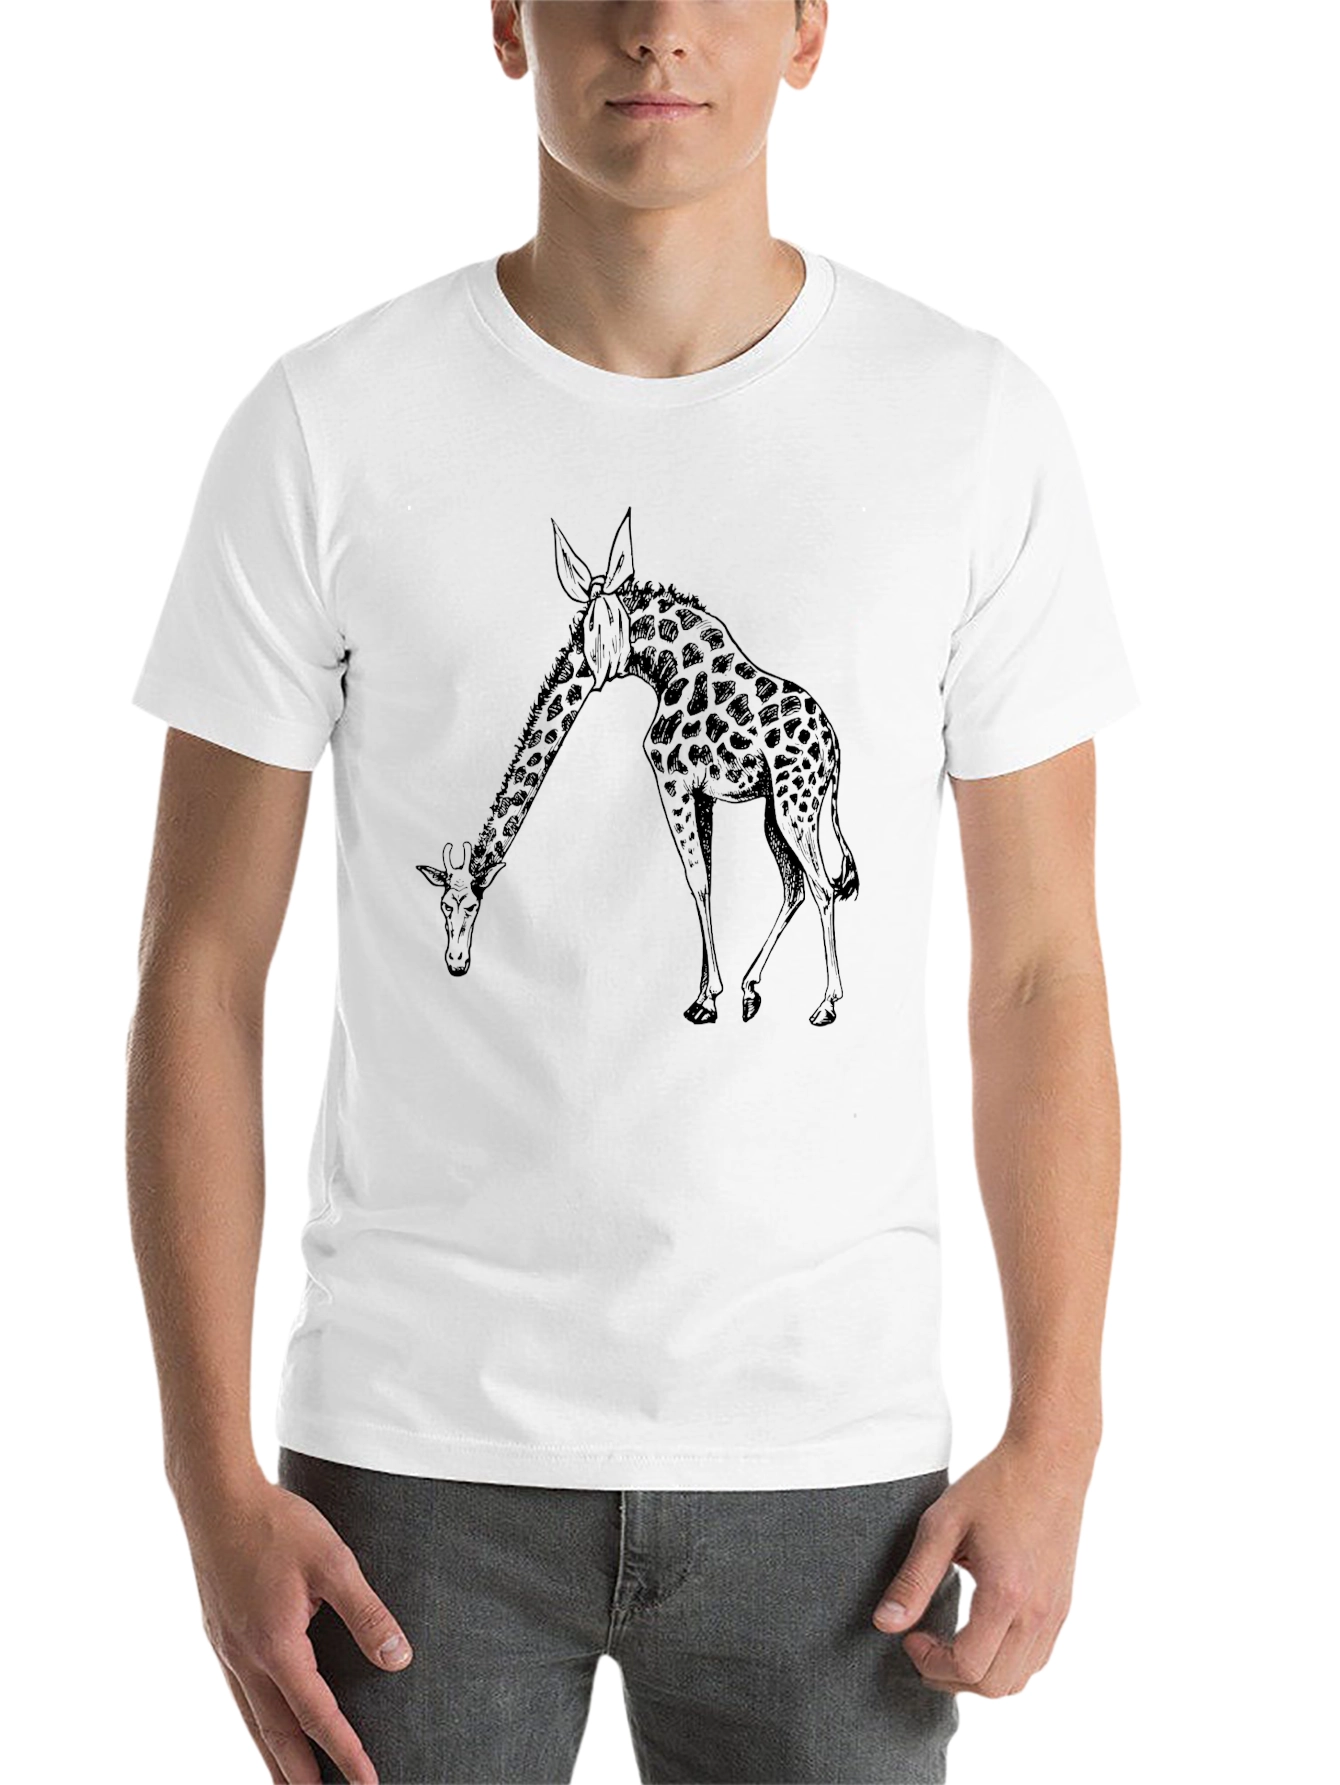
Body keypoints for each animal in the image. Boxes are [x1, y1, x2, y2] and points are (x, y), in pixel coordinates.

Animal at [416, 507, 859, 1026]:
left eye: (468, 906)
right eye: (443, 907)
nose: (456, 963)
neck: (656, 662)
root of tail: (834, 747)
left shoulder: (671, 779)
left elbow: (696, 881)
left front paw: (706, 999)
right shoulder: (701, 792)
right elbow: (708, 878)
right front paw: (712, 995)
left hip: (796, 805)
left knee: (823, 888)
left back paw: (826, 1004)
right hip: (777, 808)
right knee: (795, 887)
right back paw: (752, 990)